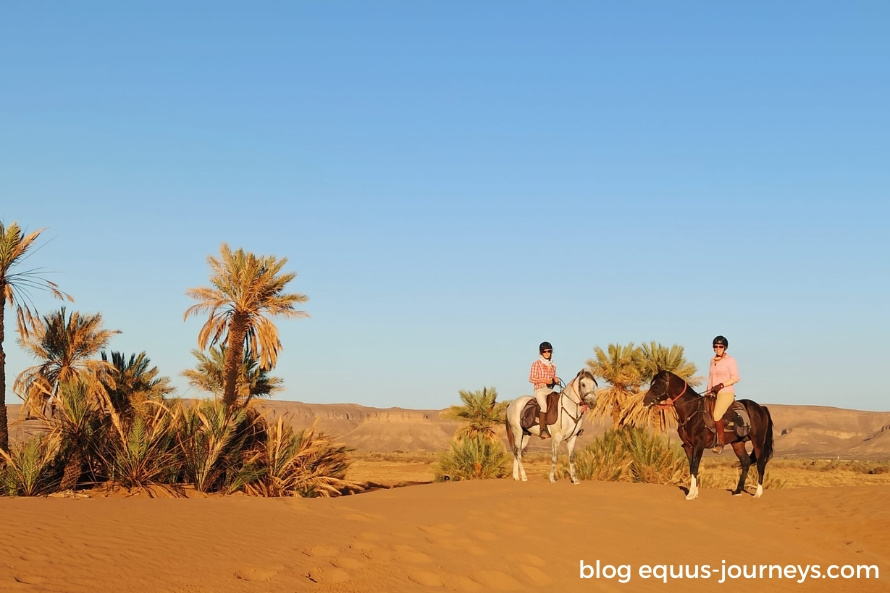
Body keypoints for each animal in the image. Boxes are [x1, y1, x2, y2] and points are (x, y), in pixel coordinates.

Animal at [640, 370, 772, 500]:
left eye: (657, 386)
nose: (645, 401)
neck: (692, 411)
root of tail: (761, 408)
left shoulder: (699, 444)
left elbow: (694, 466)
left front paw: (691, 494)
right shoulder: (688, 446)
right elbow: (692, 467)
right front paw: (694, 493)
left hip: (757, 441)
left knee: (760, 463)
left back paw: (758, 493)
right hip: (738, 443)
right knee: (745, 462)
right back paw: (738, 491)